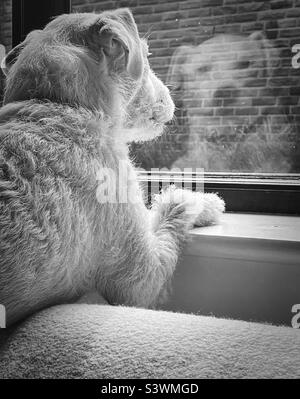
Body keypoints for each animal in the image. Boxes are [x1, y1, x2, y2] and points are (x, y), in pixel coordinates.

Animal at [0, 8, 224, 328]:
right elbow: (172, 209)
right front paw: (203, 202)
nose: (172, 98)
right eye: (146, 55)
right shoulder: (141, 278)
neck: (59, 103)